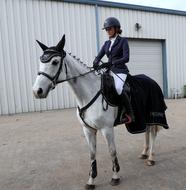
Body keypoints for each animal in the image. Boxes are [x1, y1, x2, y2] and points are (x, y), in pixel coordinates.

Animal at [33, 35, 169, 189]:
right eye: (41, 61)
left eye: (55, 62)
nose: (37, 91)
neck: (89, 93)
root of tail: (151, 80)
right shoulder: (88, 130)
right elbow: (92, 154)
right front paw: (91, 181)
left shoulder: (107, 129)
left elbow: (112, 151)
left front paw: (115, 177)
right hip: (143, 116)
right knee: (146, 131)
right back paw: (144, 153)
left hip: (152, 114)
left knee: (152, 133)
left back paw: (151, 157)